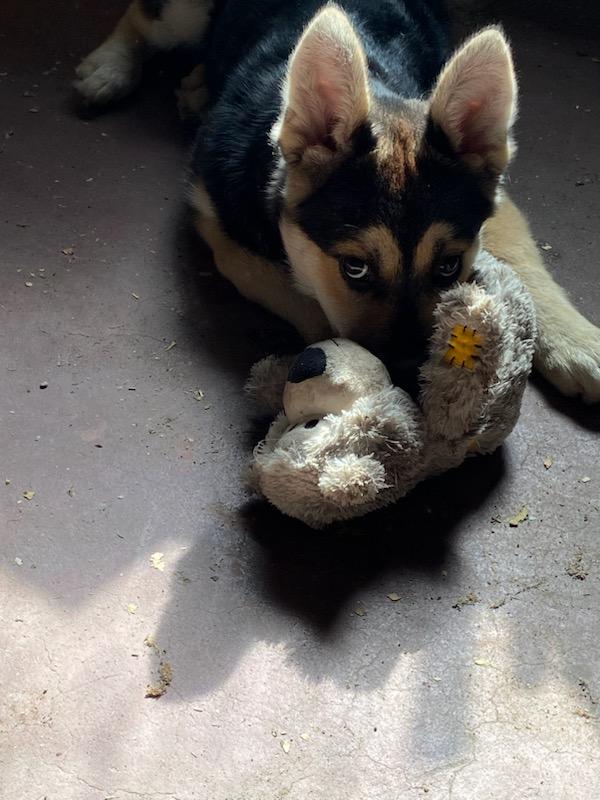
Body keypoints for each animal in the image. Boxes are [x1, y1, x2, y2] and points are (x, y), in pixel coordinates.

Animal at [75, 0, 600, 400]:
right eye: (355, 268)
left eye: (448, 267)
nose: (411, 385)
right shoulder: (218, 224)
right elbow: (303, 300)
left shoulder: (495, 201)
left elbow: (524, 259)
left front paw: (577, 344)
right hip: (184, 13)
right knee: (143, 16)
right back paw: (109, 69)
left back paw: (196, 84)